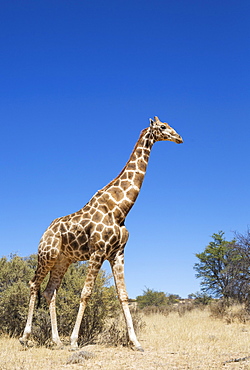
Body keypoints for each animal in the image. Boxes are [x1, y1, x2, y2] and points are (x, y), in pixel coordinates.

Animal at [19, 115, 183, 350]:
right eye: (163, 127)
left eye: (169, 126)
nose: (179, 138)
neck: (120, 208)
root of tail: (45, 232)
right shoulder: (97, 251)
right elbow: (85, 293)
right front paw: (75, 341)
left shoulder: (117, 253)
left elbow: (123, 295)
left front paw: (135, 342)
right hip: (46, 255)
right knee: (34, 284)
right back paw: (26, 337)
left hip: (62, 261)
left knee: (50, 291)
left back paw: (56, 341)